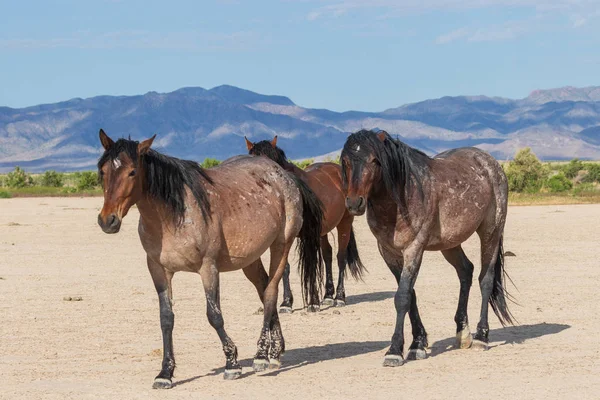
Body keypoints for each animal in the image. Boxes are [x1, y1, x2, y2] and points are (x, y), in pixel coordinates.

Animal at [96, 129, 324, 388]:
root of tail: (284, 175)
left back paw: (261, 356)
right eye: (103, 171)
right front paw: (165, 373)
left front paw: (232, 363)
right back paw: (275, 350)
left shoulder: (208, 268)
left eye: (132, 172)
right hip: (250, 259)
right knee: (264, 288)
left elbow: (214, 316)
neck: (172, 215)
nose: (107, 220)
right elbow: (166, 318)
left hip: (281, 244)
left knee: (270, 293)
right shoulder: (158, 270)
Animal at [244, 136, 366, 310]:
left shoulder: (308, 237)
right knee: (327, 255)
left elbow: (311, 265)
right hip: (322, 231)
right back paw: (328, 296)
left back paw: (339, 298)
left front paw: (313, 302)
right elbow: (284, 267)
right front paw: (286, 302)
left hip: (345, 223)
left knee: (340, 257)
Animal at [342, 130, 516, 368]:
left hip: (491, 232)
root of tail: (490, 163)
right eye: (346, 161)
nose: (354, 203)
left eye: (375, 160)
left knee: (486, 280)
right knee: (466, 271)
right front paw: (418, 343)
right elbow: (410, 295)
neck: (401, 198)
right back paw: (463, 333)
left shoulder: (414, 249)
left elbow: (402, 297)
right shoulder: (388, 253)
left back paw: (481, 336)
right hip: (450, 244)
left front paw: (395, 350)